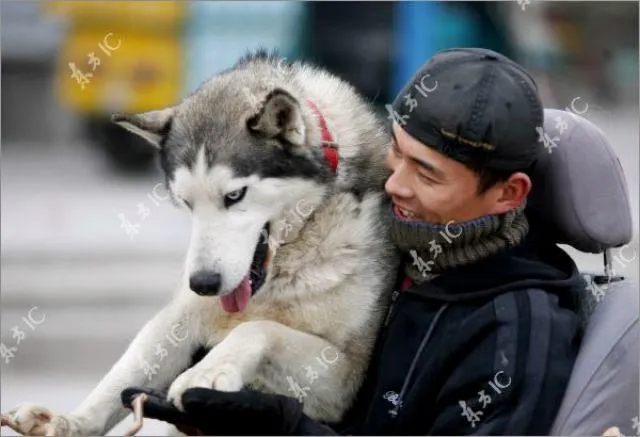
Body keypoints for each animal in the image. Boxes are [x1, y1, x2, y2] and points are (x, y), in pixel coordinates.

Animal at [1, 50, 400, 432]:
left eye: (235, 195)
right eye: (186, 202)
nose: (204, 283)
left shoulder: (346, 377)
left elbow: (259, 328)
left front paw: (207, 371)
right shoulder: (182, 314)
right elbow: (125, 373)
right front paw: (71, 422)